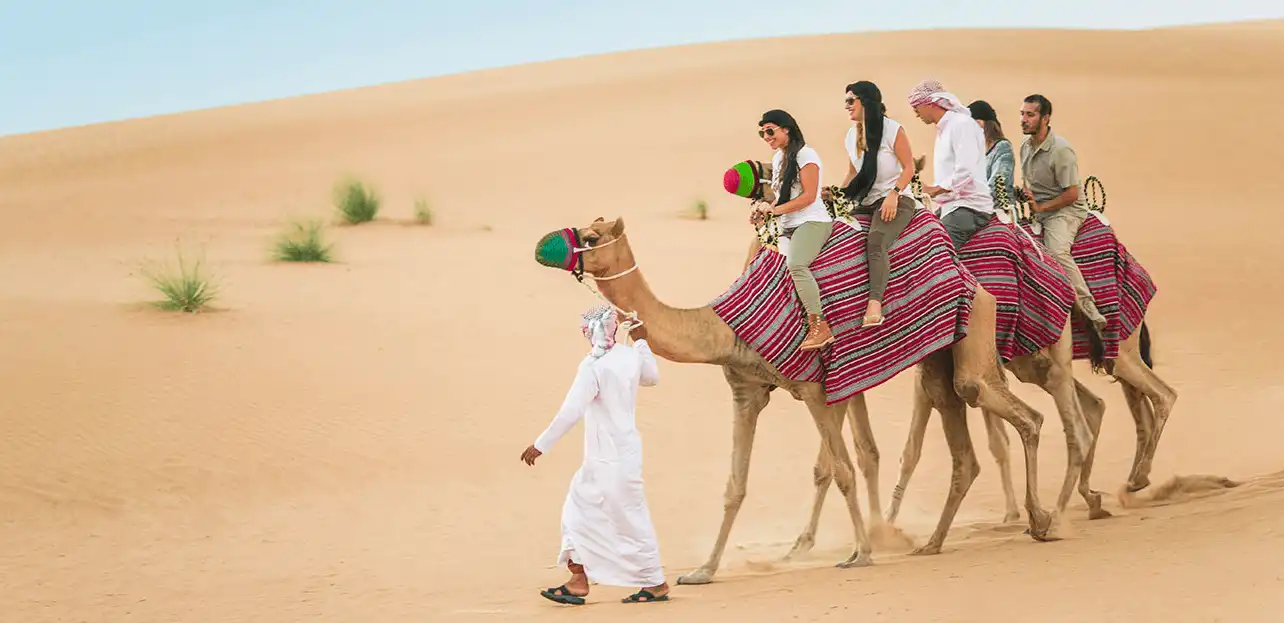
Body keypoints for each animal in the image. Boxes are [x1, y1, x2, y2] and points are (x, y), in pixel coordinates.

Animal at [534, 215, 1059, 585]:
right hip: (937, 358)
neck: (720, 325)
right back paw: (933, 543)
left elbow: (841, 469)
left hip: (975, 332)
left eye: (591, 235)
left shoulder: (814, 389)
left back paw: (1040, 519)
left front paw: (861, 554)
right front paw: (703, 571)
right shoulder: (746, 392)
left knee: (1016, 411)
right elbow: (735, 485)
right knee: (964, 442)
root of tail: (968, 272)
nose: (544, 246)